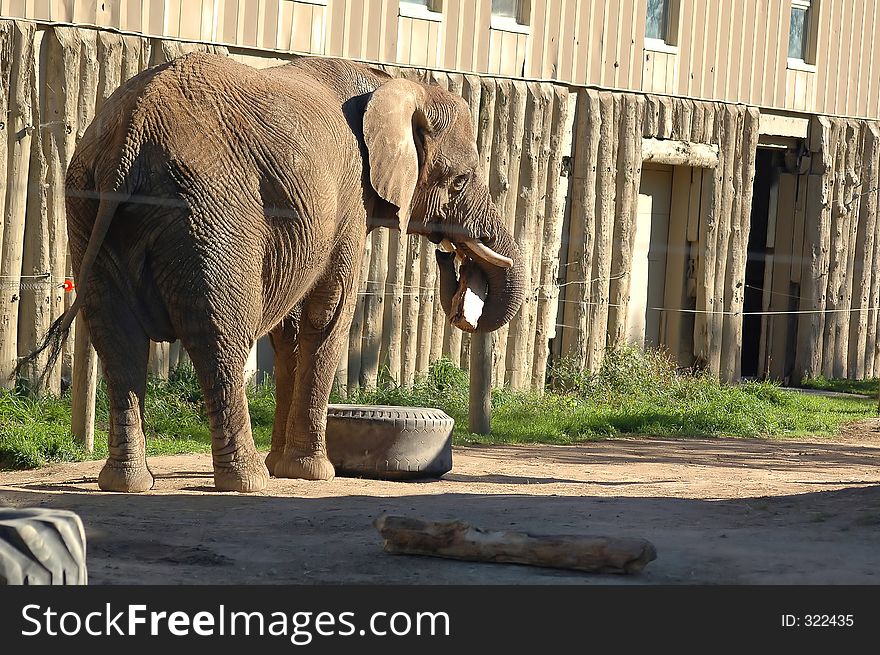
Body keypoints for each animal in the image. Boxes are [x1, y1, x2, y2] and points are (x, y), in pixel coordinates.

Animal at [24, 52, 524, 492]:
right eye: (459, 180)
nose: (450, 258)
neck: (391, 81)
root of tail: (131, 130)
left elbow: (291, 327)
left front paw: (285, 465)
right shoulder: (349, 202)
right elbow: (329, 311)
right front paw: (312, 473)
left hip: (86, 204)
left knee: (117, 338)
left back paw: (128, 484)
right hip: (207, 208)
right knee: (219, 335)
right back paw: (247, 483)